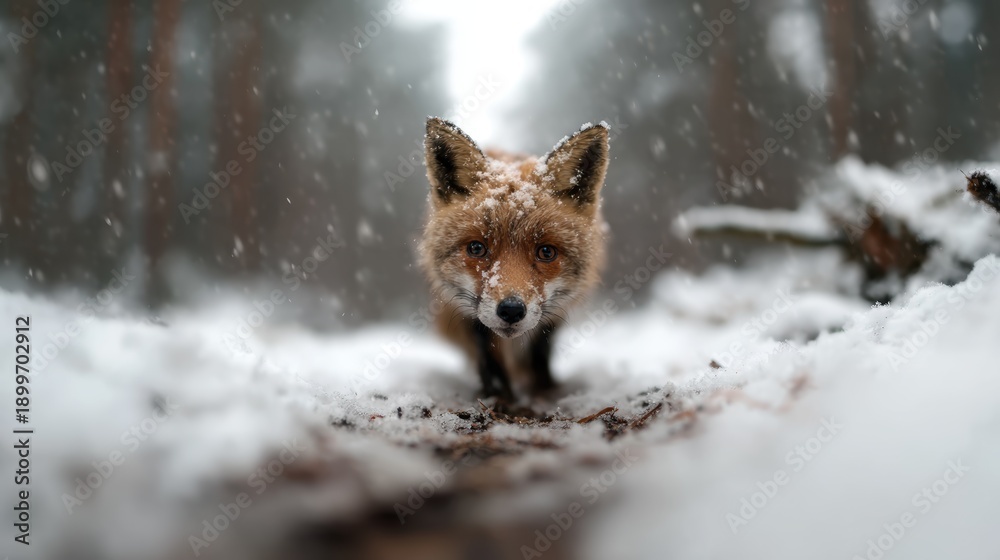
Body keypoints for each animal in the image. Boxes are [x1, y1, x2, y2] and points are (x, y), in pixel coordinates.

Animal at [418, 117, 610, 401]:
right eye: (476, 248)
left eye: (546, 252)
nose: (511, 310)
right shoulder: (463, 308)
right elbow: (487, 351)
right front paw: (498, 394)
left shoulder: (556, 313)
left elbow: (540, 349)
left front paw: (544, 389)